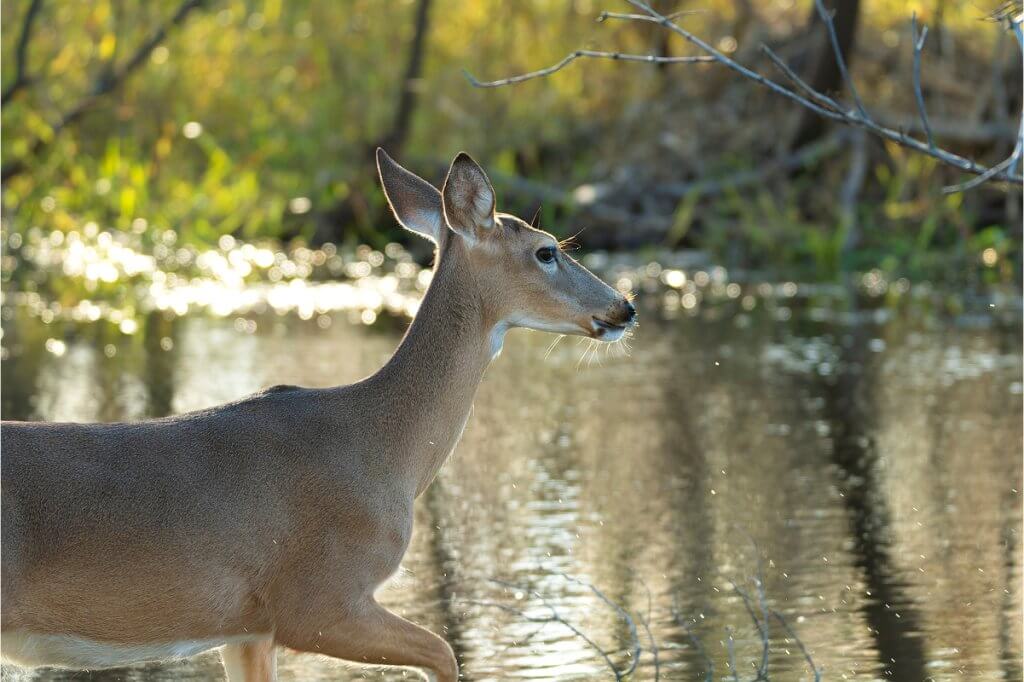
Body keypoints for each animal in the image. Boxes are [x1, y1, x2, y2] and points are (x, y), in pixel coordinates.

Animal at [1, 149, 637, 682]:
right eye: (547, 251)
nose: (625, 307)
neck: (383, 449)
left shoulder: (248, 631)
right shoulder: (317, 599)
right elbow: (445, 651)